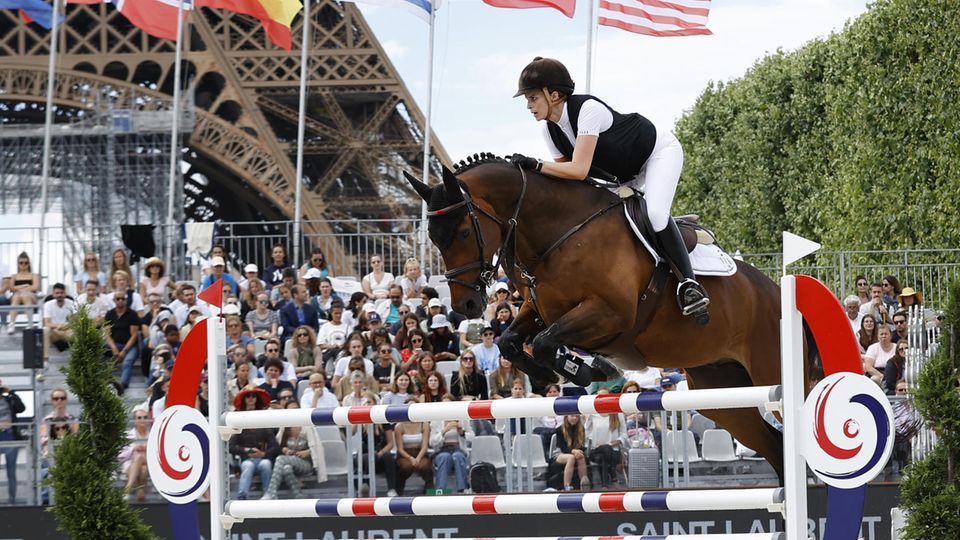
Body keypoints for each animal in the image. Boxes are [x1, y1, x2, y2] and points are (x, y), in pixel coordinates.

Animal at [408, 154, 800, 478]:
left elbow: (545, 342)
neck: (558, 232)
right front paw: (568, 372)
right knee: (773, 446)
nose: (466, 306)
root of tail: (776, 289)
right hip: (722, 391)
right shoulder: (541, 310)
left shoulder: (610, 314)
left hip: (768, 370)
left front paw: (589, 369)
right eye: (433, 237)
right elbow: (511, 341)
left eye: (463, 232)